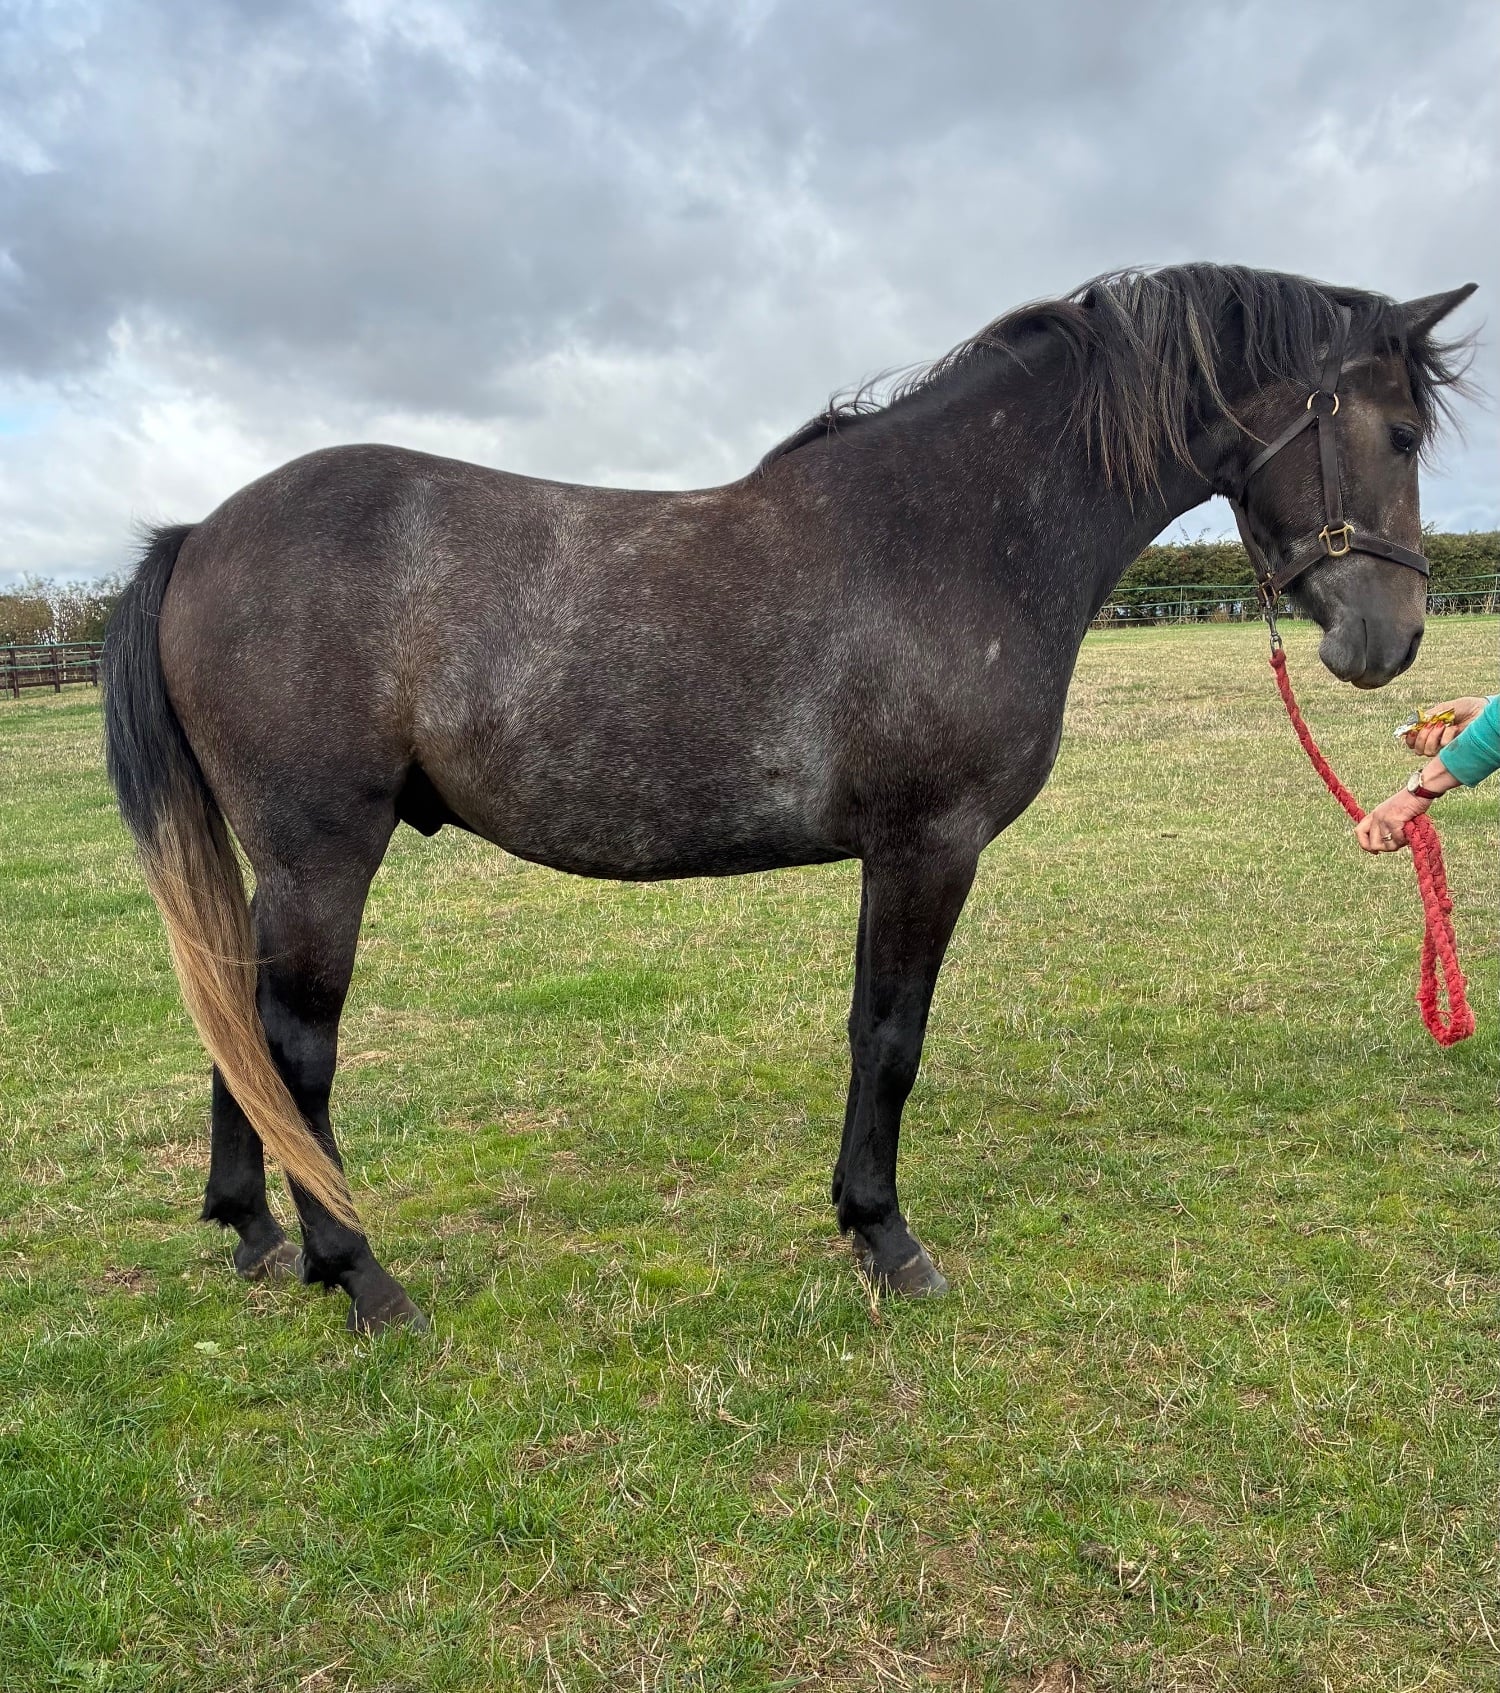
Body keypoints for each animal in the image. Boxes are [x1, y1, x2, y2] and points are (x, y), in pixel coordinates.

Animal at [102, 264, 1476, 1333]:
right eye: (1400, 435)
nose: (1393, 639)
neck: (957, 529)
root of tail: (200, 533)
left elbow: (873, 1033)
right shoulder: (929, 847)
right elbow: (891, 1039)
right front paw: (887, 1238)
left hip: (278, 866)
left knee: (240, 1029)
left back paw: (256, 1233)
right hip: (322, 855)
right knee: (294, 1050)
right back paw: (359, 1274)